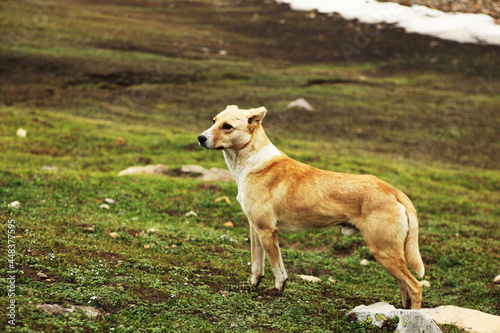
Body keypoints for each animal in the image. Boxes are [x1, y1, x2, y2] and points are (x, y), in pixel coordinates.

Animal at [197, 105, 424, 308]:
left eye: (227, 126)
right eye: (214, 121)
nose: (200, 138)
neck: (253, 162)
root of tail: (395, 191)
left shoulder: (267, 231)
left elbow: (277, 268)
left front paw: (277, 290)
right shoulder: (255, 229)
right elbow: (256, 265)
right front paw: (253, 286)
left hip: (383, 251)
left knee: (415, 286)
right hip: (390, 254)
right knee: (404, 286)